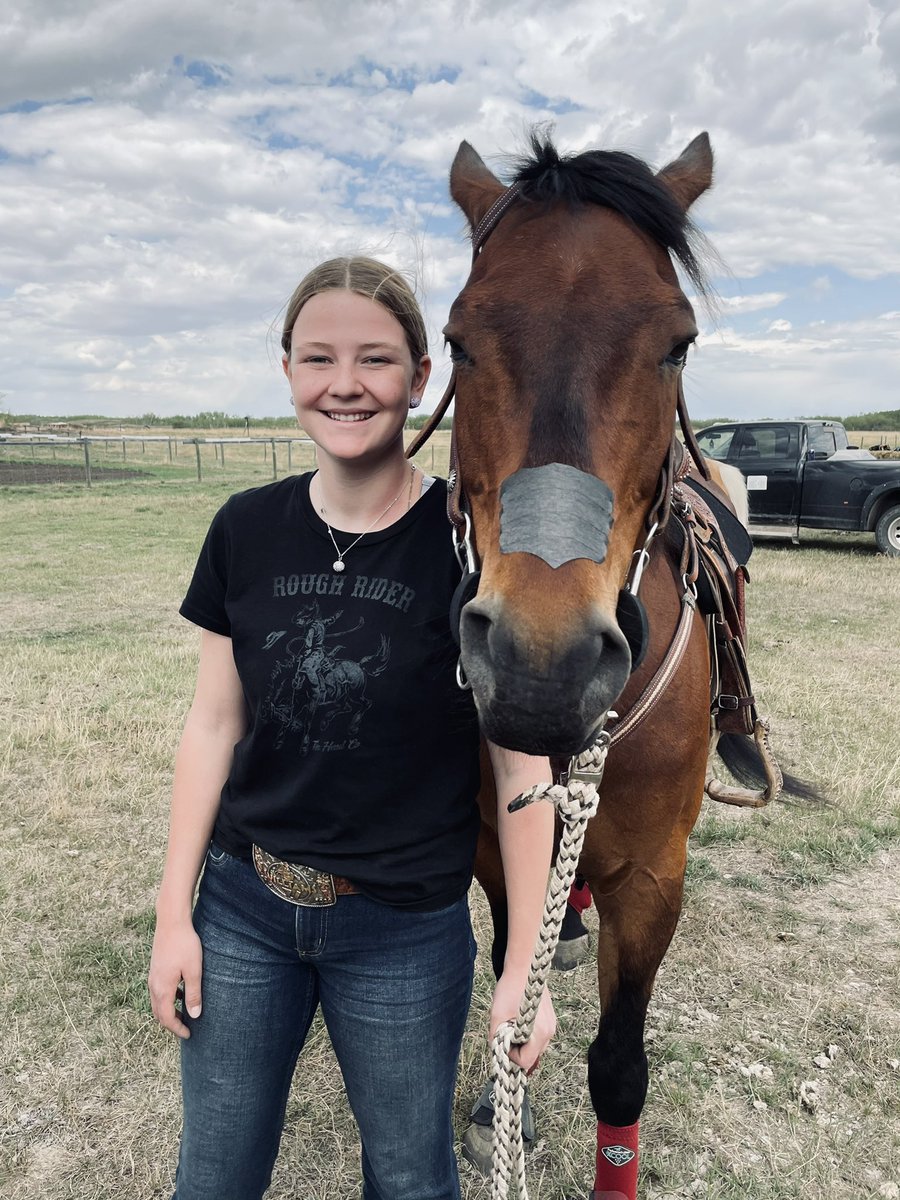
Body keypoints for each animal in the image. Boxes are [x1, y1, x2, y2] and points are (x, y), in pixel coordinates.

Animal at [415, 131, 817, 1200]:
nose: (539, 665)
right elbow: (510, 983)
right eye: (459, 339)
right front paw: (496, 1098)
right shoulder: (493, 855)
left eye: (677, 343)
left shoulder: (653, 879)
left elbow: (619, 1066)